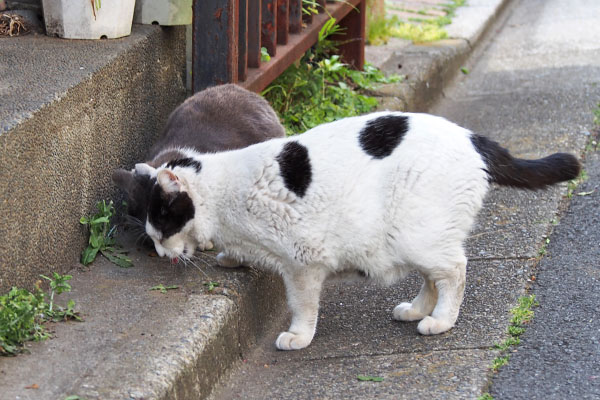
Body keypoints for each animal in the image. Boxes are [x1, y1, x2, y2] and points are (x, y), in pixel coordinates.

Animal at [137, 111, 580, 350]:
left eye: (160, 224)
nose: (158, 253)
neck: (224, 196)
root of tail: (473, 138)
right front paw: (230, 257)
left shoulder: (302, 264)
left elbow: (302, 306)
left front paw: (299, 336)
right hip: (415, 240)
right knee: (433, 277)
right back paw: (417, 310)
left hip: (420, 235)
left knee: (455, 271)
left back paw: (440, 321)